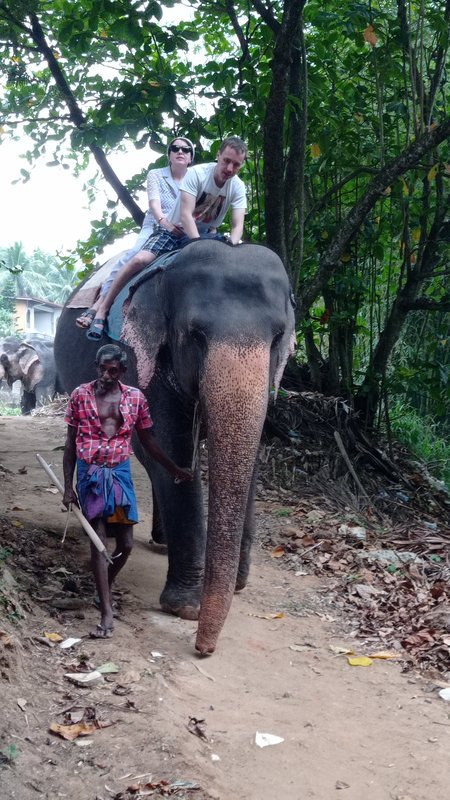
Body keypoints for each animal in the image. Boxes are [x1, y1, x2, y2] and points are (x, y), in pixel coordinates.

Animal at [53, 241, 296, 652]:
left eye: (278, 337)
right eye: (195, 335)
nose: (204, 649)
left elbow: (251, 455)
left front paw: (238, 584)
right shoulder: (143, 360)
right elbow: (169, 447)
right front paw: (185, 607)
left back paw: (161, 542)